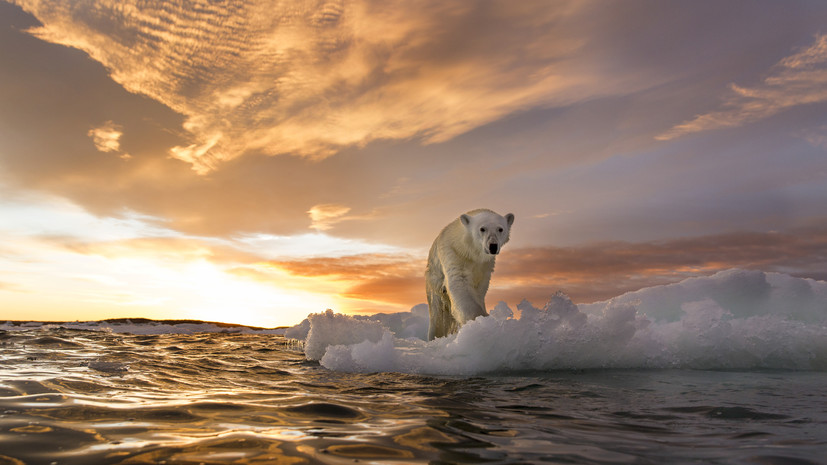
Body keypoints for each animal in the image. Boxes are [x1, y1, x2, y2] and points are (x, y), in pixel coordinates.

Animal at [424, 208, 516, 338]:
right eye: (482, 228)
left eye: (500, 229)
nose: (493, 246)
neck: (470, 251)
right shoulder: (454, 254)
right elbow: (459, 283)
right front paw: (480, 320)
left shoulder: (484, 266)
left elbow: (479, 289)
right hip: (434, 281)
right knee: (438, 315)